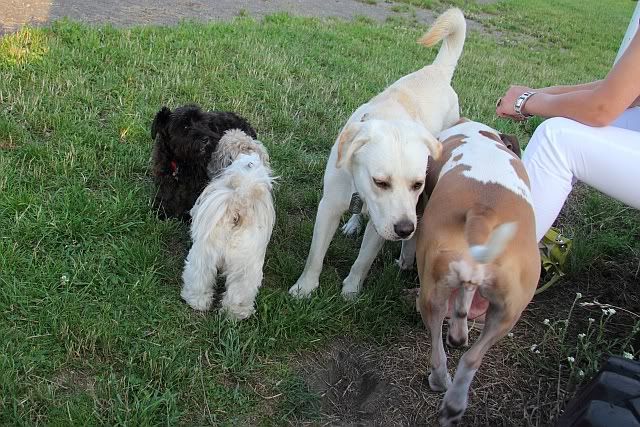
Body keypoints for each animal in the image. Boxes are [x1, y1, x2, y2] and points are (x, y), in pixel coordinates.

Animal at [180, 130, 275, 320]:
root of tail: (240, 202)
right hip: (244, 265)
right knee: (239, 290)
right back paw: (234, 313)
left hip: (203, 254)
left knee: (199, 277)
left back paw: (197, 301)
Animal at [289, 8, 466, 299]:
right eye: (380, 182)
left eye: (417, 184)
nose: (405, 229)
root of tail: (438, 71)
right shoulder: (329, 207)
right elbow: (315, 256)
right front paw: (305, 288)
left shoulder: (384, 224)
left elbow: (363, 262)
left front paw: (350, 293)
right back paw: (354, 224)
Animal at [415, 119, 540, 426]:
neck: (480, 135)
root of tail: (482, 213)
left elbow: (462, 303)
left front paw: (458, 334)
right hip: (506, 312)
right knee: (462, 356)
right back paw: (449, 396)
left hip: (444, 293)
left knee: (452, 354)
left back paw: (447, 394)